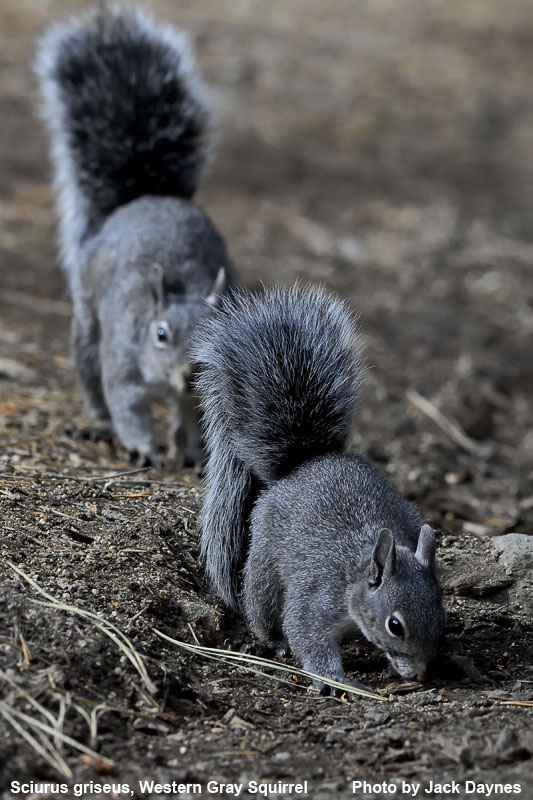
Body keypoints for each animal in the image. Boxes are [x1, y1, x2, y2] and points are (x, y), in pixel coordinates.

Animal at [36, 6, 233, 467]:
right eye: (160, 334)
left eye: (216, 332)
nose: (190, 375)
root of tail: (145, 197)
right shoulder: (122, 367)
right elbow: (128, 409)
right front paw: (143, 449)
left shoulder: (204, 394)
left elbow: (194, 423)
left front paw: (192, 456)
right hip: (89, 336)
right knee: (96, 385)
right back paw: (100, 426)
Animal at [192, 284, 446, 689]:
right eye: (395, 625)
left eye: (442, 614)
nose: (420, 675)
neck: (355, 574)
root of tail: (307, 463)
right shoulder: (316, 598)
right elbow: (305, 631)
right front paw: (334, 679)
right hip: (265, 562)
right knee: (262, 605)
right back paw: (272, 639)